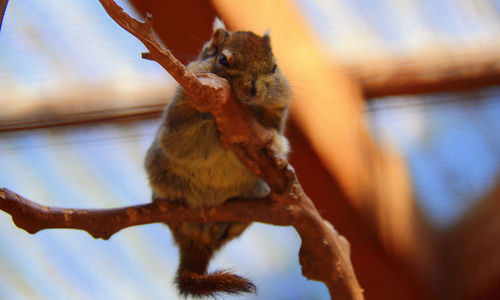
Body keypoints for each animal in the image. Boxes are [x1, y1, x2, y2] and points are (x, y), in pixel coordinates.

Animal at [145, 18, 292, 298]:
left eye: (274, 67)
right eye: (223, 60)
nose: (252, 90)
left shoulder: (277, 114)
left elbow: (276, 136)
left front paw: (273, 147)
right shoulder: (179, 120)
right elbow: (189, 134)